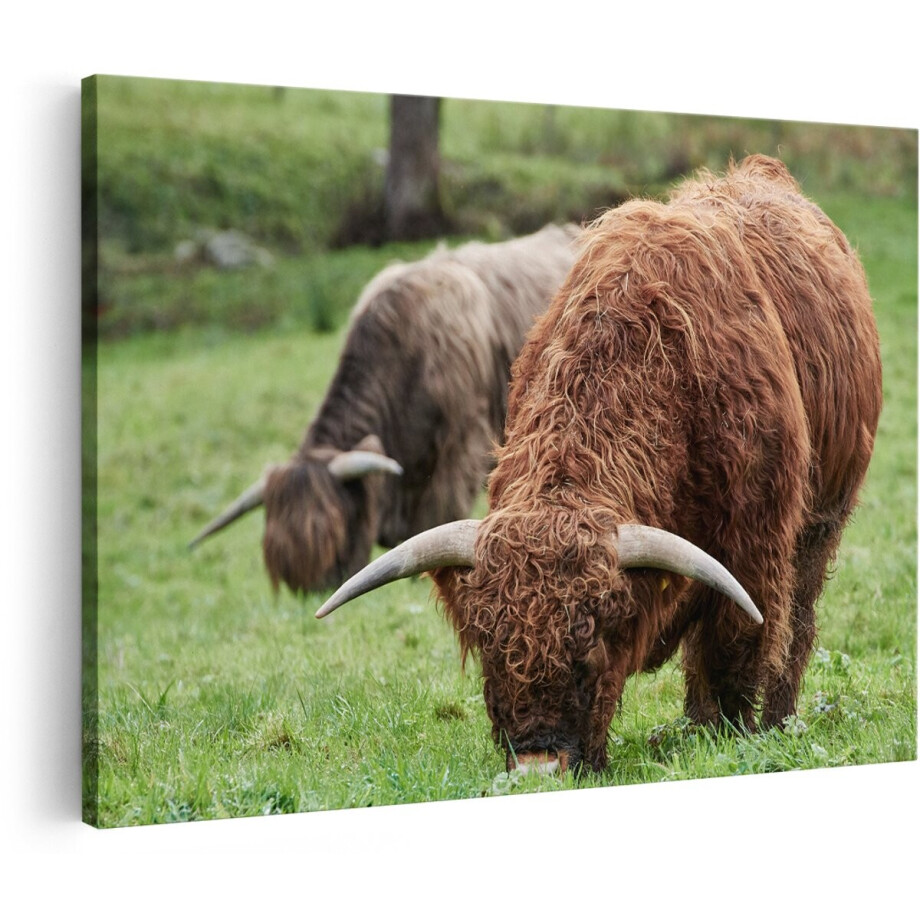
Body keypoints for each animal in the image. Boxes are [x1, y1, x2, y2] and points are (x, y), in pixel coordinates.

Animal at [316, 155, 883, 776]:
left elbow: (738, 648)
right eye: (490, 648)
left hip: (822, 522)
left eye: (589, 649)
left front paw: (731, 735)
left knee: (796, 623)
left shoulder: (755, 548)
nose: (538, 766)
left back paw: (773, 719)